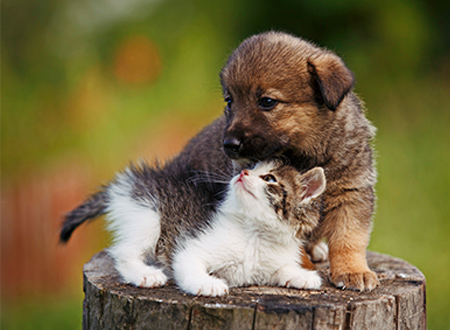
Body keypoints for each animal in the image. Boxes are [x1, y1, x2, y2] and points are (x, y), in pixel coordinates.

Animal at [61, 160, 326, 296]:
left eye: (269, 178)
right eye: (251, 169)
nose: (242, 172)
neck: (255, 234)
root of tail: (133, 181)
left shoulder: (269, 263)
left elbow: (281, 270)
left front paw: (302, 277)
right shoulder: (191, 246)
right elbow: (188, 264)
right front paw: (206, 284)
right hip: (147, 213)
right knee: (124, 252)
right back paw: (145, 274)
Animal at [171, 30, 378, 288]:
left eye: (267, 101)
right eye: (229, 101)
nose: (229, 145)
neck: (304, 155)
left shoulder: (351, 192)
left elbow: (349, 238)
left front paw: (353, 270)